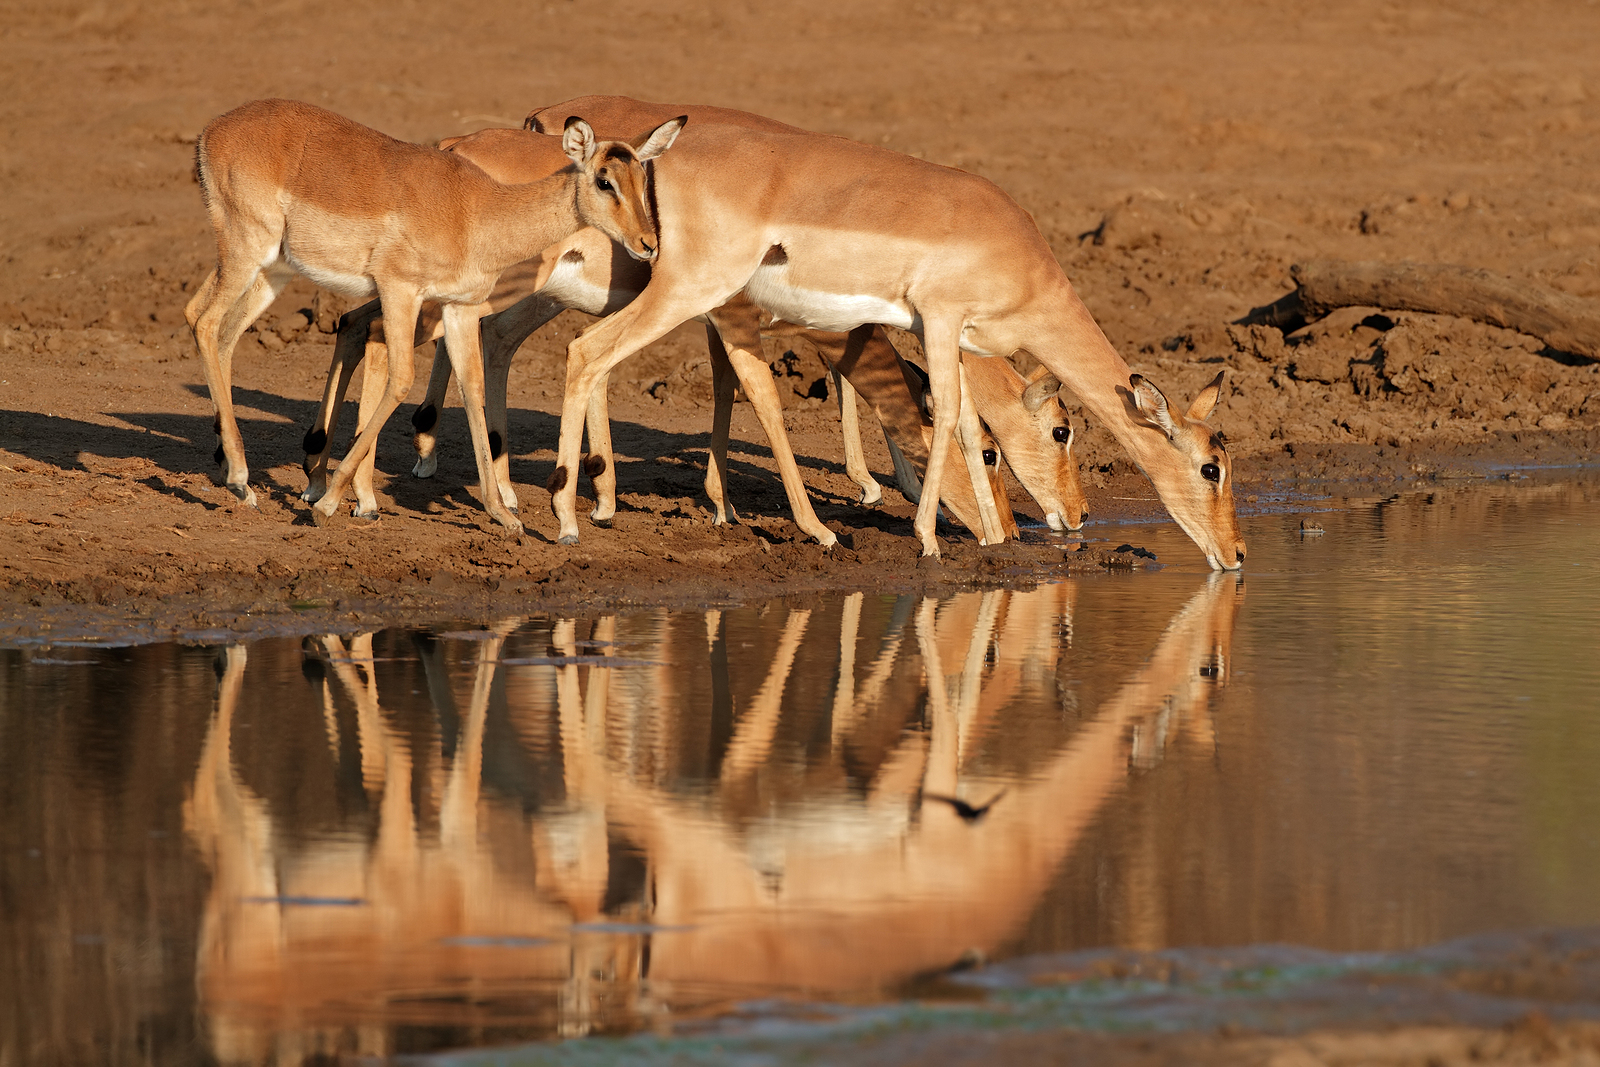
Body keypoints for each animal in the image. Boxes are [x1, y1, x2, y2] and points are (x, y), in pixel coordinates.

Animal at [183, 97, 683, 533]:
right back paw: (244, 482)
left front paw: (504, 516)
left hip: (274, 270)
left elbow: (473, 386)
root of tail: (214, 129)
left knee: (217, 328)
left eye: (642, 178)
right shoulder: (400, 291)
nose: (648, 244)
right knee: (204, 321)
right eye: (604, 180)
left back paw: (244, 474)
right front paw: (328, 505)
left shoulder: (458, 308)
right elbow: (402, 378)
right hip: (248, 250)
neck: (476, 210)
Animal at [528, 96, 1244, 568]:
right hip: (688, 289)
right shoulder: (943, 319)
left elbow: (963, 424)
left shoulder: (946, 335)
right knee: (586, 351)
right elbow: (951, 415)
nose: (1237, 553)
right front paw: (929, 537)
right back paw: (570, 519)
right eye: (1211, 466)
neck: (1018, 251)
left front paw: (989, 535)